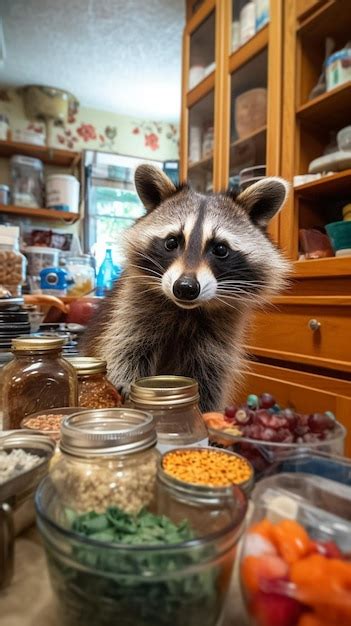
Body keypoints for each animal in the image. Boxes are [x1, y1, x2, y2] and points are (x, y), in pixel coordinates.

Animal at [84, 163, 288, 412]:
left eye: (220, 249)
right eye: (172, 242)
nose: (185, 287)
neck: (185, 310)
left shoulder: (218, 341)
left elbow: (210, 380)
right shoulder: (130, 312)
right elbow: (124, 351)